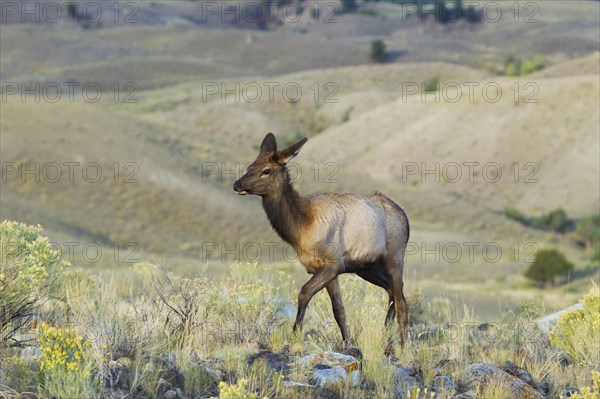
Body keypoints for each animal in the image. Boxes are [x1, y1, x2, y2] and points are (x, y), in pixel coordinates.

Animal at [232, 134, 410, 354]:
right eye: (249, 166)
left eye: (266, 170)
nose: (237, 184)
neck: (301, 229)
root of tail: (404, 214)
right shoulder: (327, 268)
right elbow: (339, 310)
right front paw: (348, 344)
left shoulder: (333, 263)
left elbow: (304, 292)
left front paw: (295, 336)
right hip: (366, 267)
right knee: (392, 292)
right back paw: (385, 342)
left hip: (395, 256)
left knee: (402, 301)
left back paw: (403, 347)